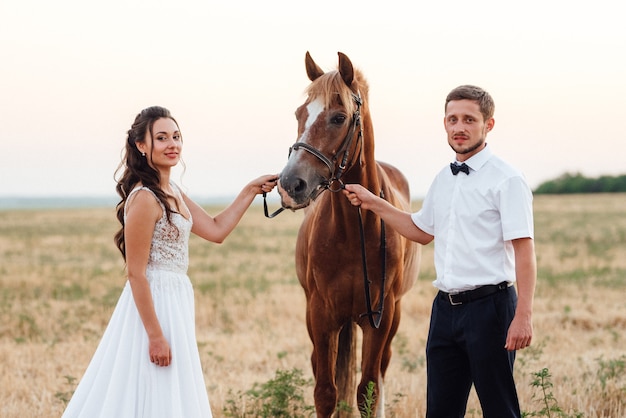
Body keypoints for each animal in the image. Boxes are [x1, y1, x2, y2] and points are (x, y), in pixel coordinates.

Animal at [274, 53, 416, 418]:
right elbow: (326, 393)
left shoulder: (380, 318)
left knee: (380, 375)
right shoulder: (321, 316)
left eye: (339, 118)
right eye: (299, 114)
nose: (290, 184)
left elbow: (367, 390)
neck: (354, 231)